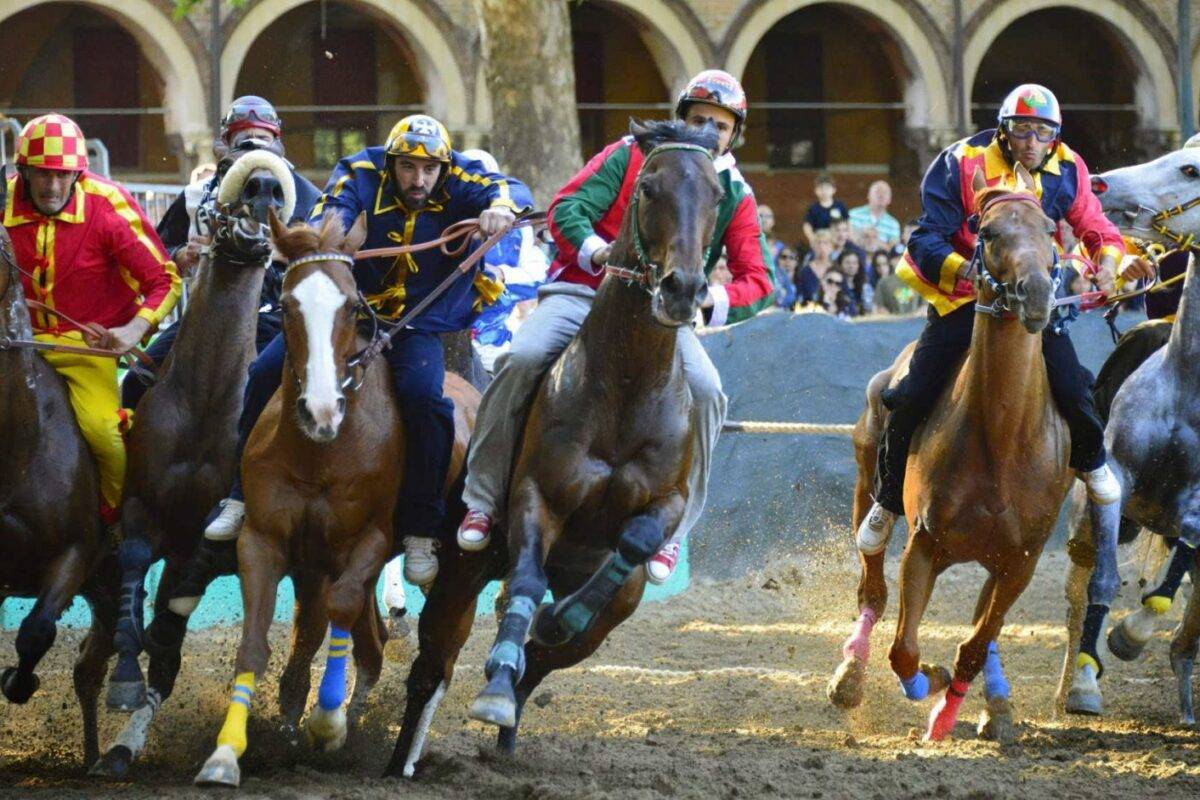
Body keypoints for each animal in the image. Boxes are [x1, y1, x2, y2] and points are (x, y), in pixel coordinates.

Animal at [89, 148, 295, 777]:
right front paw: (125, 672)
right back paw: (120, 747)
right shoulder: (143, 505)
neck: (207, 402)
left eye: (281, 195)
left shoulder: (219, 535)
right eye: (209, 199)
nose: (262, 188)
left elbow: (198, 571)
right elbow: (136, 560)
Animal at [192, 211, 477, 786]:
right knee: (359, 640)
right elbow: (254, 642)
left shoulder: (370, 539)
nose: (320, 409)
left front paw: (329, 723)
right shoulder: (265, 540)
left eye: (351, 306)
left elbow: (343, 609)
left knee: (422, 655)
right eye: (285, 304)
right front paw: (226, 753)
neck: (320, 452)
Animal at [384, 120, 720, 782]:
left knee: (547, 655)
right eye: (648, 187)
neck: (625, 387)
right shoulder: (538, 496)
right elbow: (526, 577)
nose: (684, 288)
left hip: (618, 607)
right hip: (461, 573)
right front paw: (495, 679)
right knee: (434, 665)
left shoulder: (665, 501)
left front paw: (547, 627)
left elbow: (634, 543)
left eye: (718, 196)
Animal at [830, 165, 1075, 743]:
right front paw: (930, 683)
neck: (1002, 438)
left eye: (1049, 230)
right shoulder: (926, 545)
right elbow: (905, 649)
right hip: (868, 478)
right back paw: (850, 675)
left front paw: (954, 707)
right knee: (871, 587)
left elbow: (977, 642)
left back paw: (996, 705)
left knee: (984, 629)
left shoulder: (1020, 560)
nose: (1035, 293)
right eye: (987, 232)